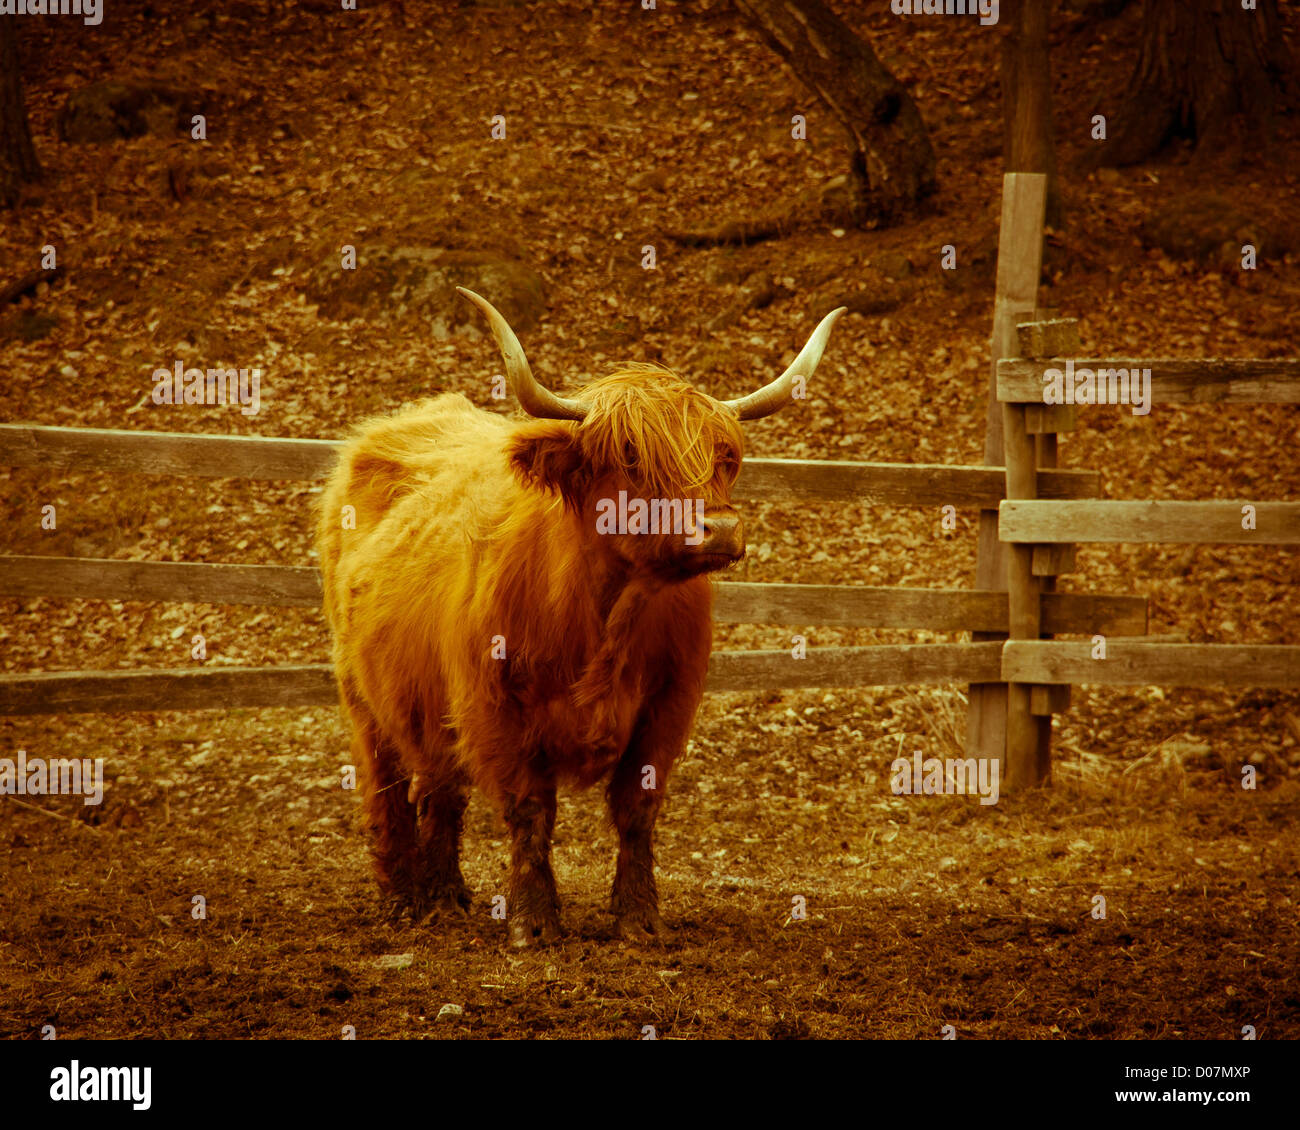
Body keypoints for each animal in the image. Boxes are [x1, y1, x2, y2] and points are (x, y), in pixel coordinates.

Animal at [317, 288, 844, 946]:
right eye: (630, 455)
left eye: (725, 456)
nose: (719, 529)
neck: (605, 617)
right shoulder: (493, 706)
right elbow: (529, 811)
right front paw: (534, 922)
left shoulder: (668, 706)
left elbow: (637, 810)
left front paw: (639, 917)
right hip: (361, 694)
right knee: (388, 785)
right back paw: (401, 900)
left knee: (439, 788)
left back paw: (446, 897)